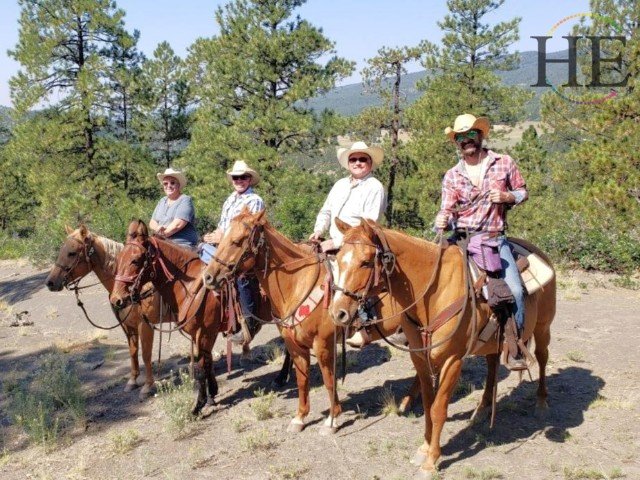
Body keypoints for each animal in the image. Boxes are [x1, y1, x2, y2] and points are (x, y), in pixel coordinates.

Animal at [46, 225, 169, 398]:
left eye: (72, 253)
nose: (50, 282)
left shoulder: (144, 325)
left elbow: (146, 354)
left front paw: (147, 386)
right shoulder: (127, 325)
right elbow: (133, 351)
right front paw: (132, 381)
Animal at [110, 219, 228, 414]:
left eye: (135, 260)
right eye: (118, 260)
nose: (116, 300)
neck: (192, 287)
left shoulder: (205, 333)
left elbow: (201, 367)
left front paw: (199, 406)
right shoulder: (200, 335)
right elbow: (206, 362)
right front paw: (212, 395)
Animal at [201, 207, 420, 436]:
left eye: (237, 241)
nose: (208, 277)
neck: (298, 284)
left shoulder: (323, 344)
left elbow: (329, 380)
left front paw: (332, 419)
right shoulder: (295, 345)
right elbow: (302, 380)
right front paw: (300, 418)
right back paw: (407, 401)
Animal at [330, 218, 556, 476]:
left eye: (366, 262)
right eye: (337, 259)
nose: (338, 313)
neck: (433, 294)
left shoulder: (453, 360)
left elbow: (439, 409)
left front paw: (431, 462)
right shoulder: (421, 359)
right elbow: (428, 405)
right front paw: (424, 448)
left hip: (543, 327)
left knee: (542, 357)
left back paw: (541, 402)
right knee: (492, 365)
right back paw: (483, 408)